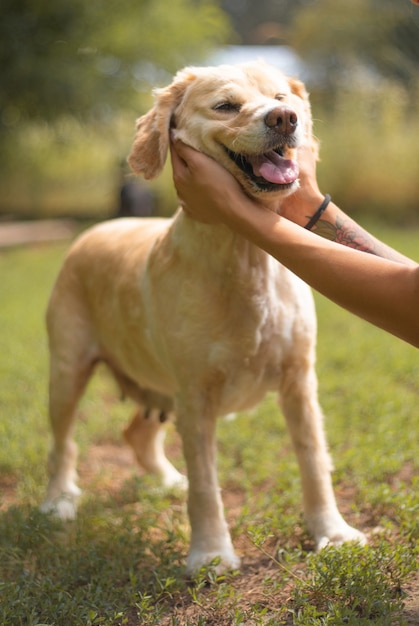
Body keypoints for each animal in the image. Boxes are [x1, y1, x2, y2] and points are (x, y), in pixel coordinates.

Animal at [41, 62, 366, 572]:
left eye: (280, 97)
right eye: (226, 106)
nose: (285, 119)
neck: (246, 256)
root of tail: (95, 229)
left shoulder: (299, 380)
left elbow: (315, 464)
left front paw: (332, 533)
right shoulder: (195, 394)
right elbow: (207, 484)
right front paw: (211, 553)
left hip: (158, 391)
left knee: (136, 433)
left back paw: (166, 480)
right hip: (68, 370)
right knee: (63, 444)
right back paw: (59, 501)